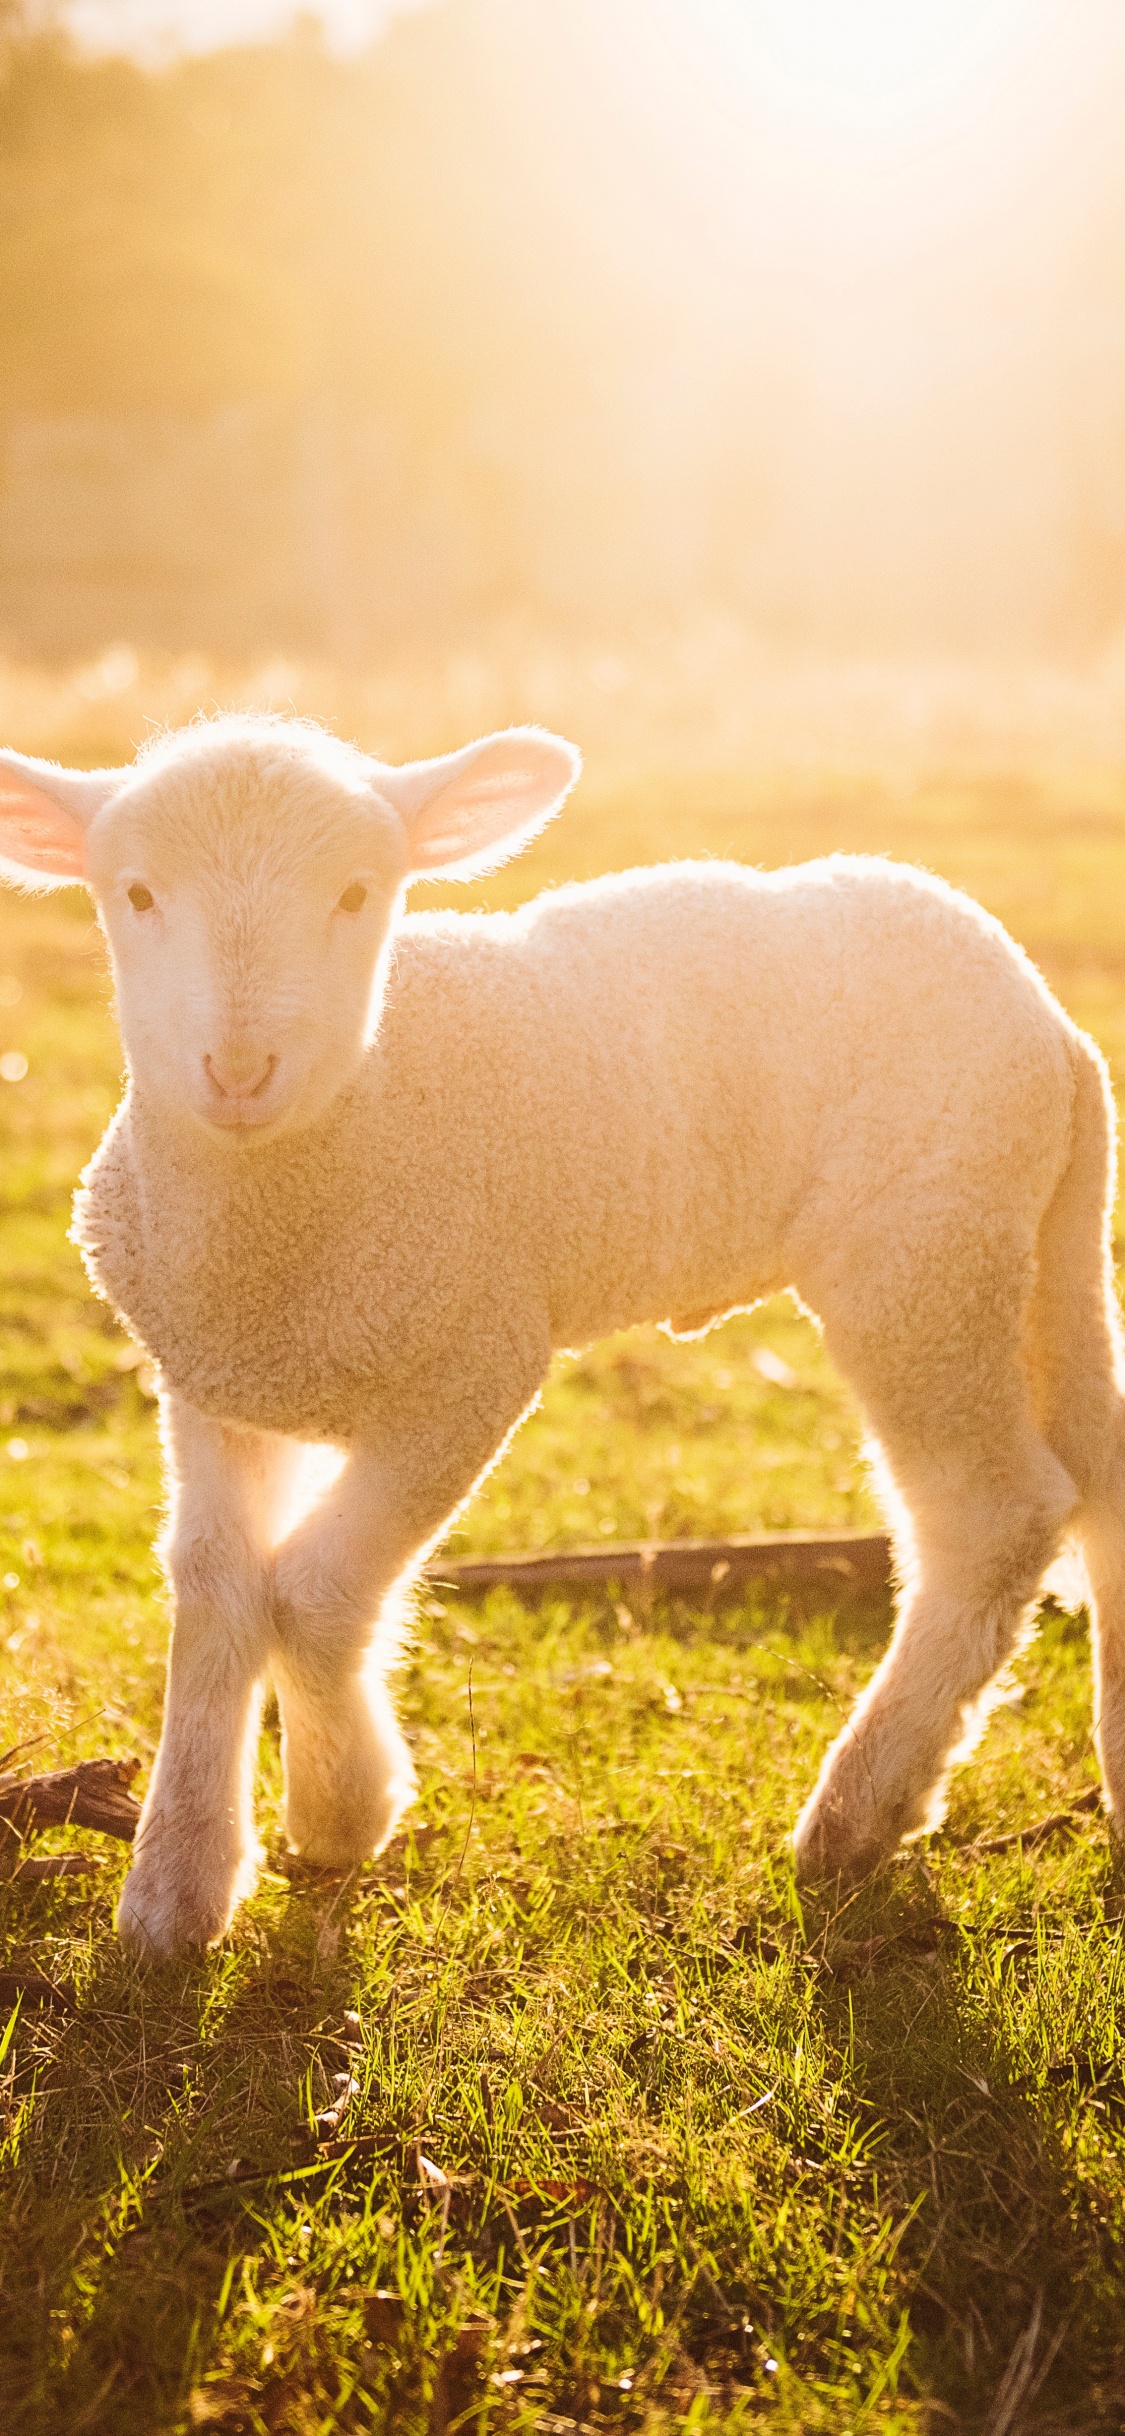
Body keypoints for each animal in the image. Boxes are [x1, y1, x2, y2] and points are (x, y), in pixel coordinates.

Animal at [0, 711, 1123, 1957]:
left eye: (357, 892)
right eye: (137, 892)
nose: (240, 1070)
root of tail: (1053, 1026)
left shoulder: (472, 1367)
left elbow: (317, 1590)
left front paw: (341, 1812)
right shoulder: (212, 1376)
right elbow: (212, 1586)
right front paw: (177, 1886)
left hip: (924, 1254)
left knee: (991, 1517)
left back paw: (857, 1814)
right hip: (1032, 1247)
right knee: (1100, 1473)